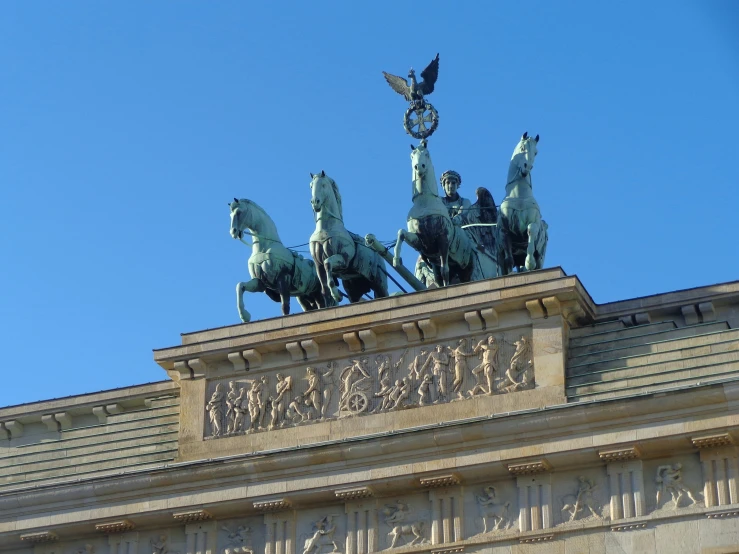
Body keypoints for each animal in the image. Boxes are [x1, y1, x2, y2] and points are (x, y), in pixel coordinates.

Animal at [308, 170, 390, 304]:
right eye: (311, 186)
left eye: (323, 185)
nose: (315, 202)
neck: (326, 229)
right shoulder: (318, 265)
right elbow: (325, 290)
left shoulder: (344, 259)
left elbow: (327, 263)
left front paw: (337, 295)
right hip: (353, 288)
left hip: (379, 283)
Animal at [498, 134, 548, 272]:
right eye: (522, 148)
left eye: (535, 152)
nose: (527, 167)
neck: (519, 196)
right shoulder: (504, 231)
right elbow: (508, 260)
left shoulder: (533, 222)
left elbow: (531, 230)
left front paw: (529, 262)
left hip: (540, 256)